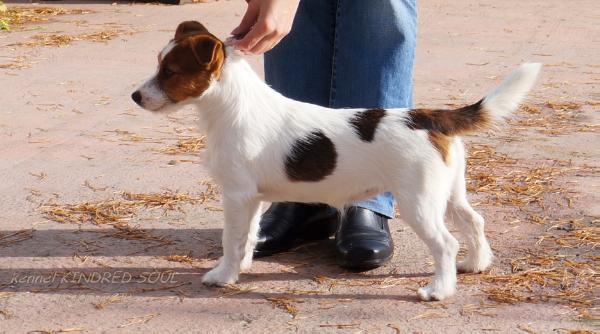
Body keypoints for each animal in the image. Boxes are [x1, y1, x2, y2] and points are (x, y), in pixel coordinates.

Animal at [132, 22, 544, 302]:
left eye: (170, 72)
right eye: (159, 65)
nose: (136, 96)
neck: (232, 106)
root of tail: (430, 117)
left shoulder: (236, 195)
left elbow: (230, 238)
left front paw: (222, 274)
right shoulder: (252, 198)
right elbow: (247, 235)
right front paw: (242, 266)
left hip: (419, 201)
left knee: (446, 244)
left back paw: (438, 290)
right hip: (449, 190)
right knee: (474, 221)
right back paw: (477, 264)